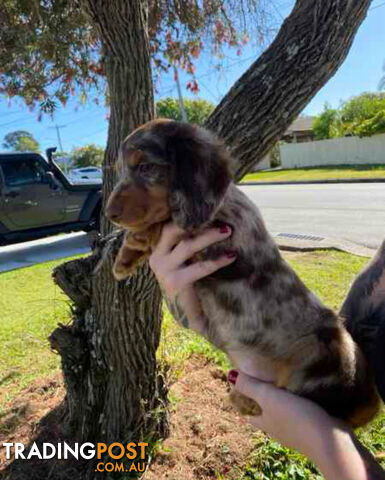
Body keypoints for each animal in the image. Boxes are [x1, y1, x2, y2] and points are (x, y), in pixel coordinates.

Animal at [105, 120, 378, 428]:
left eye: (146, 167)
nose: (109, 213)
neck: (220, 202)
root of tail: (367, 404)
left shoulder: (216, 242)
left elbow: (163, 223)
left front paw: (131, 246)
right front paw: (124, 260)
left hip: (324, 350)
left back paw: (243, 398)